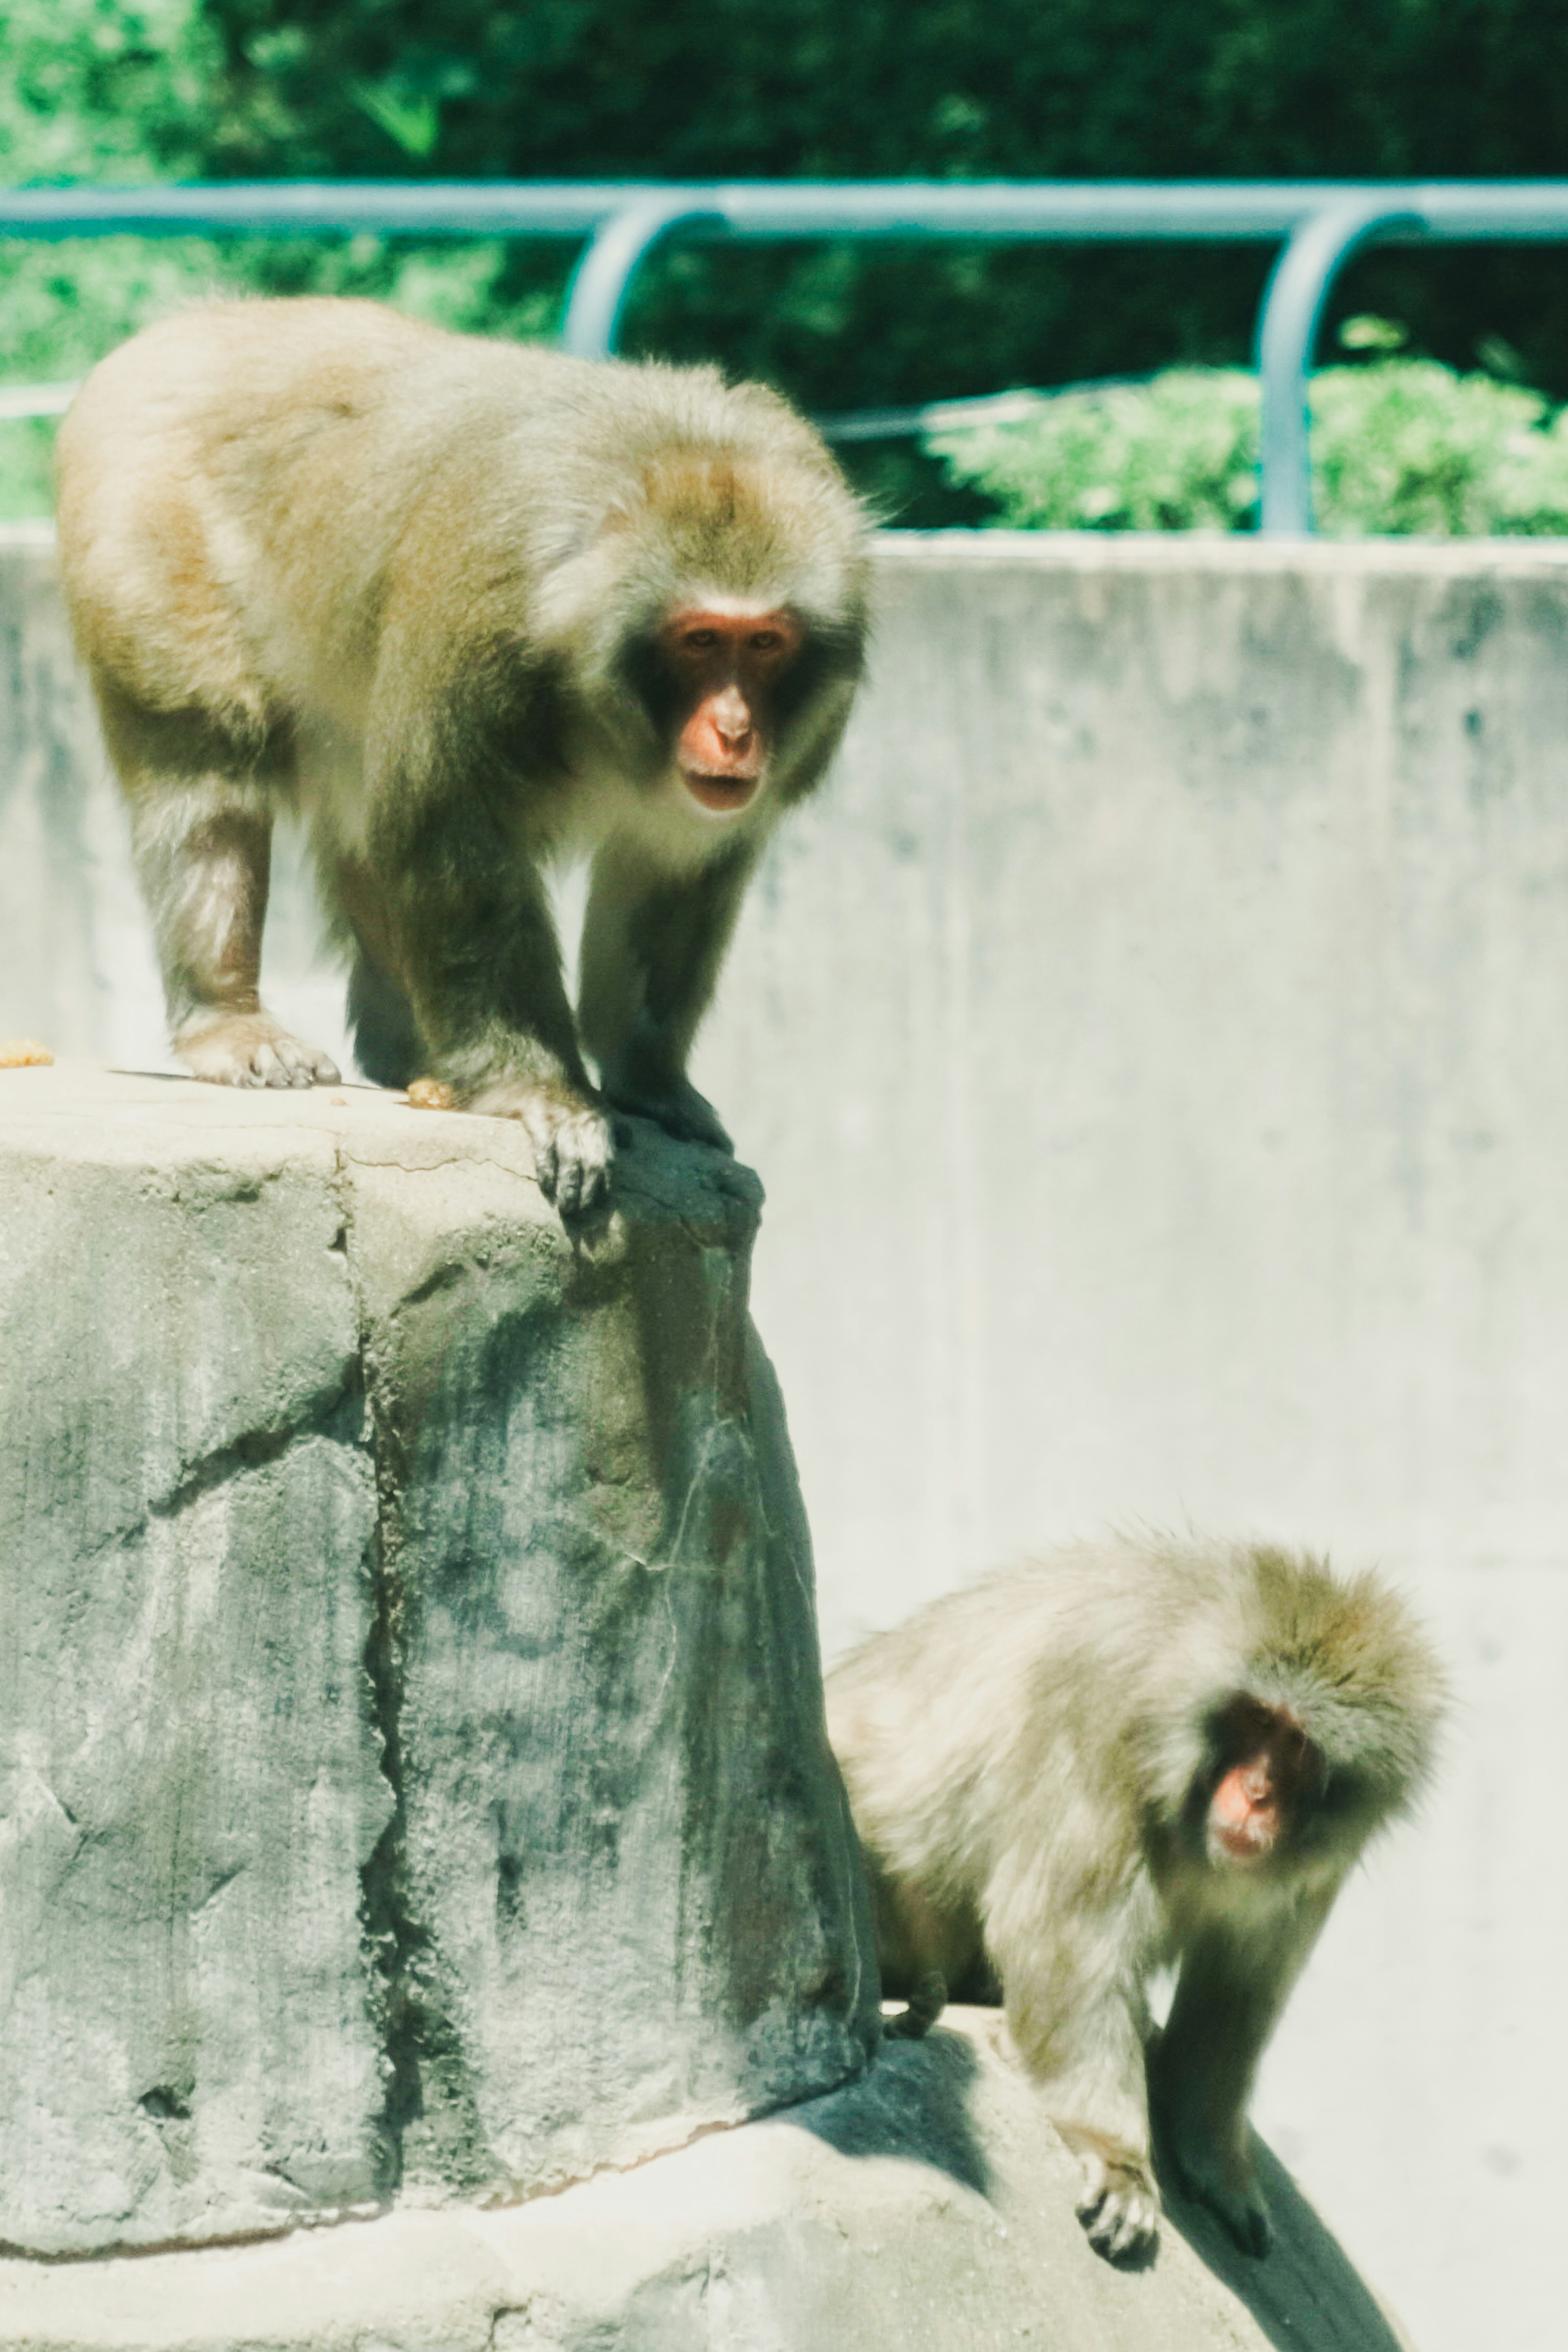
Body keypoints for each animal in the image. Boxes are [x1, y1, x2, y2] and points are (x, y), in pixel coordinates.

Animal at [55, 296, 870, 1214]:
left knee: (361, 816)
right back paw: (228, 1021)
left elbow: (671, 873)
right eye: (700, 641)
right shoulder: (482, 616)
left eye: (765, 643)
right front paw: (541, 1093)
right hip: (146, 533)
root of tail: (203, 319)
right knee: (208, 773)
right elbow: (449, 834)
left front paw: (648, 1082)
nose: (734, 729)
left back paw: (408, 1054)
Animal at [827, 1533, 1457, 2267]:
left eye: (1298, 1746)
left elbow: (1239, 1990)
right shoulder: (1098, 1709)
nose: (1258, 1795)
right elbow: (1064, 1940)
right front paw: (1119, 2157)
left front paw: (1215, 2157)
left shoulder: (1324, 1857)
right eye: (1255, 1721)